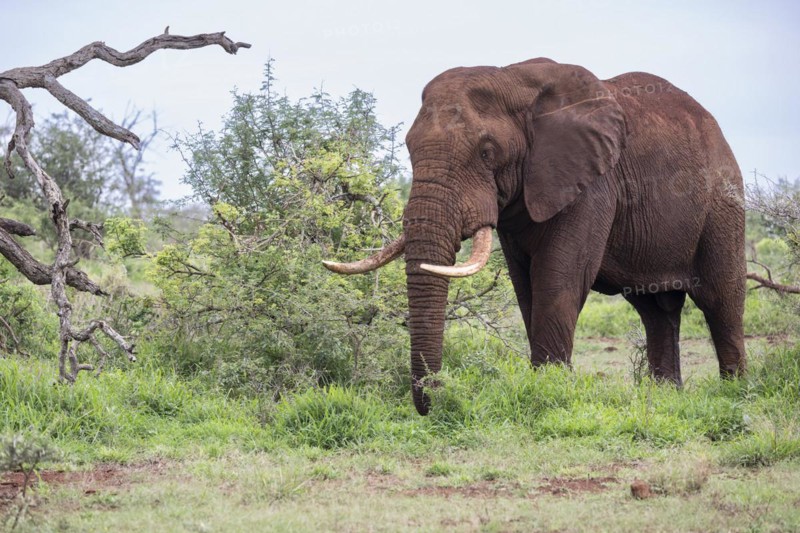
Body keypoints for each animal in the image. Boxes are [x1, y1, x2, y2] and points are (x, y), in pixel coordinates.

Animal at [324, 58, 746, 415]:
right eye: (409, 148)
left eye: (487, 152)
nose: (435, 402)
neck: (514, 82)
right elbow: (526, 288)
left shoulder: (591, 183)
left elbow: (558, 280)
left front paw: (550, 390)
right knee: (656, 310)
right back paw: (665, 398)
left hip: (723, 201)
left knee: (721, 299)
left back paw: (736, 393)